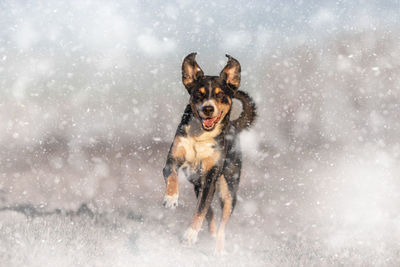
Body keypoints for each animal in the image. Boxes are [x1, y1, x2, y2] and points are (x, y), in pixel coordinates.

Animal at [162, 52, 256, 253]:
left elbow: (200, 211)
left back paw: (218, 250)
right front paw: (171, 198)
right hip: (198, 186)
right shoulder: (173, 159)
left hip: (228, 191)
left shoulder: (210, 178)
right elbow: (172, 177)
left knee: (221, 223)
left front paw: (190, 236)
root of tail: (233, 125)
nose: (208, 108)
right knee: (210, 215)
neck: (201, 137)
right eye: (199, 94)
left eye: (221, 95)